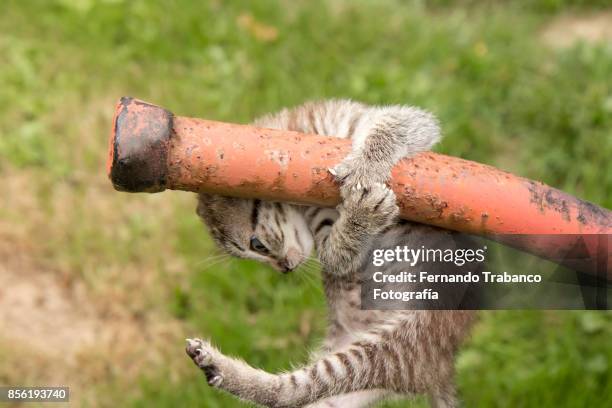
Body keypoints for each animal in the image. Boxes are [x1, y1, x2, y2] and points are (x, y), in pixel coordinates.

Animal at [186, 99, 478, 408]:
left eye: (257, 244)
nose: (285, 269)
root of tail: (440, 368)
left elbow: (400, 123)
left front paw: (366, 166)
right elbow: (338, 258)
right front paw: (362, 218)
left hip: (406, 338)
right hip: (381, 354)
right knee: (290, 393)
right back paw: (216, 366)